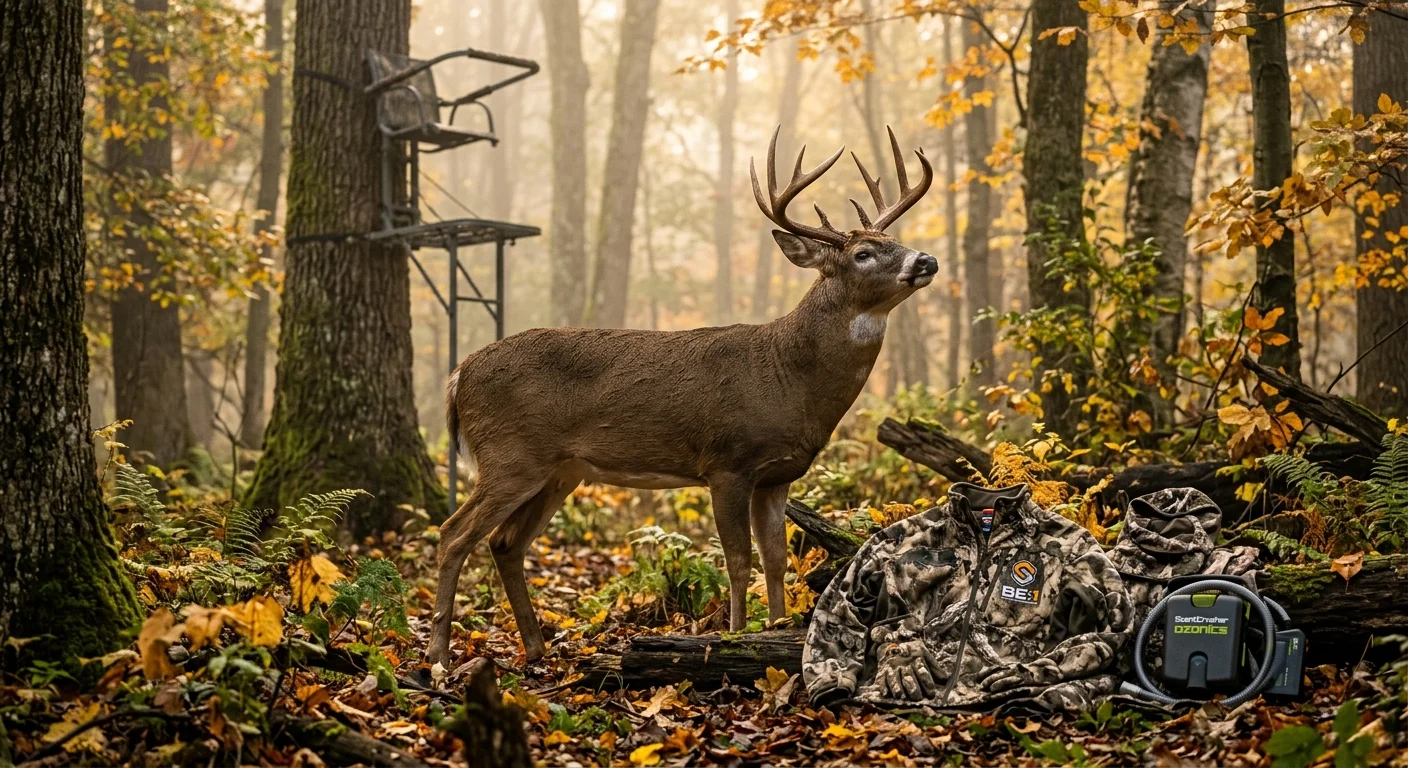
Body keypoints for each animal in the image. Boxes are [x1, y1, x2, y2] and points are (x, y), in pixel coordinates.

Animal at [427, 126, 936, 666]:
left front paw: (776, 630)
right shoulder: (727, 462)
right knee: (454, 533)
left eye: (894, 240)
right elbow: (738, 559)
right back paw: (436, 658)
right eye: (862, 253)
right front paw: (734, 638)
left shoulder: (777, 475)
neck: (789, 377)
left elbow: (775, 558)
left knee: (504, 542)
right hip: (510, 454)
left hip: (558, 471)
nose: (926, 259)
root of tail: (458, 373)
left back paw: (537, 649)